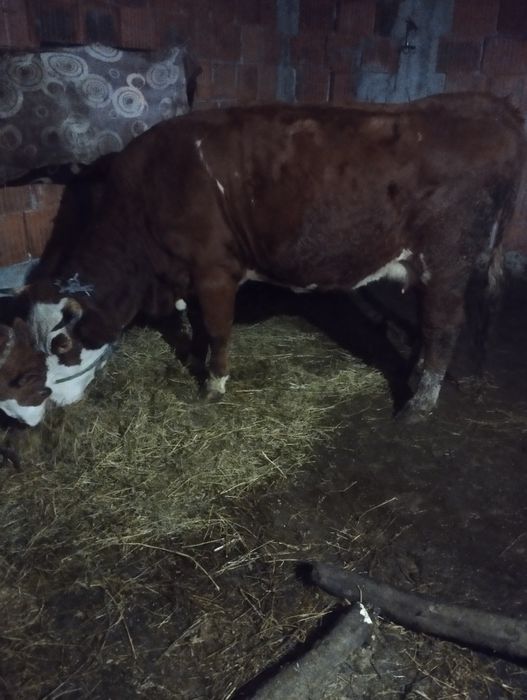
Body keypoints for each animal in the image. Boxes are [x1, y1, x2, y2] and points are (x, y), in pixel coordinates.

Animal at [2, 92, 525, 426]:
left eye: (61, 345)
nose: (37, 408)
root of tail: (487, 105)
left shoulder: (215, 270)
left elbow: (218, 328)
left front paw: (213, 385)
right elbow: (190, 322)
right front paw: (192, 356)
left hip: (447, 259)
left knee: (444, 327)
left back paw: (418, 406)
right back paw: (419, 376)